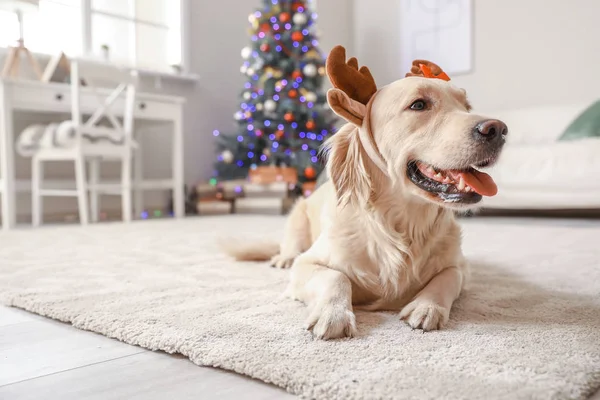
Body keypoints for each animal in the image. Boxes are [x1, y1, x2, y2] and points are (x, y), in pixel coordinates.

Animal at [223, 47, 508, 340]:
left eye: (466, 107)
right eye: (419, 105)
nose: (498, 129)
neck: (402, 226)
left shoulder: (460, 266)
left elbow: (448, 276)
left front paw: (427, 306)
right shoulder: (307, 264)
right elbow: (336, 276)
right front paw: (333, 314)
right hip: (298, 214)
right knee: (290, 247)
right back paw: (283, 257)